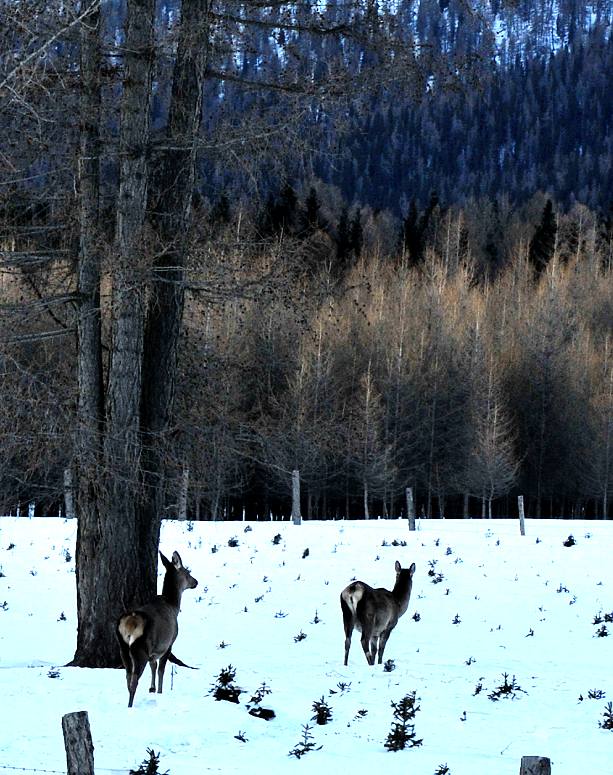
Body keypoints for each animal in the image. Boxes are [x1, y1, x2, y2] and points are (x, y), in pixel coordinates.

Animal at [117, 550, 198, 707]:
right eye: (187, 572)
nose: (196, 582)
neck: (174, 606)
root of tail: (130, 622)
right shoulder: (169, 643)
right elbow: (161, 669)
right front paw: (159, 691)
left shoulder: (153, 650)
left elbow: (153, 665)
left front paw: (152, 688)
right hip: (140, 647)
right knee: (134, 678)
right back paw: (130, 706)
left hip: (122, 646)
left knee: (127, 676)